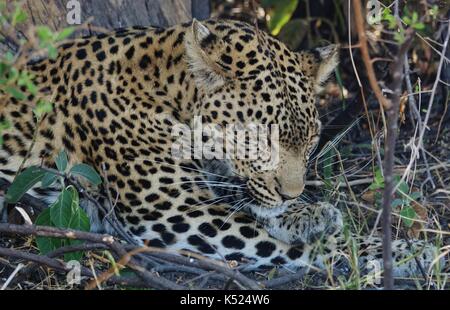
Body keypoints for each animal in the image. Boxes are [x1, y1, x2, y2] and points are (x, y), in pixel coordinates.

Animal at [0, 19, 442, 280]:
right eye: (260, 138)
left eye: (311, 139)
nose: (293, 194)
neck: (164, 90)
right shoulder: (173, 213)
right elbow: (288, 243)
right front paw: (407, 253)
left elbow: (254, 205)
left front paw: (308, 214)